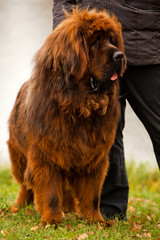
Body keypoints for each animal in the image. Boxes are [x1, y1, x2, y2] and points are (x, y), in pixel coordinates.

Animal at [7, 7, 126, 225]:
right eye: (94, 42)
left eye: (111, 40)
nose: (120, 55)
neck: (78, 105)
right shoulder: (46, 154)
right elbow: (51, 192)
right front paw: (52, 220)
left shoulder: (93, 157)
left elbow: (92, 194)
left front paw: (96, 220)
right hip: (18, 153)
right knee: (25, 183)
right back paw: (19, 205)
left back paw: (69, 208)